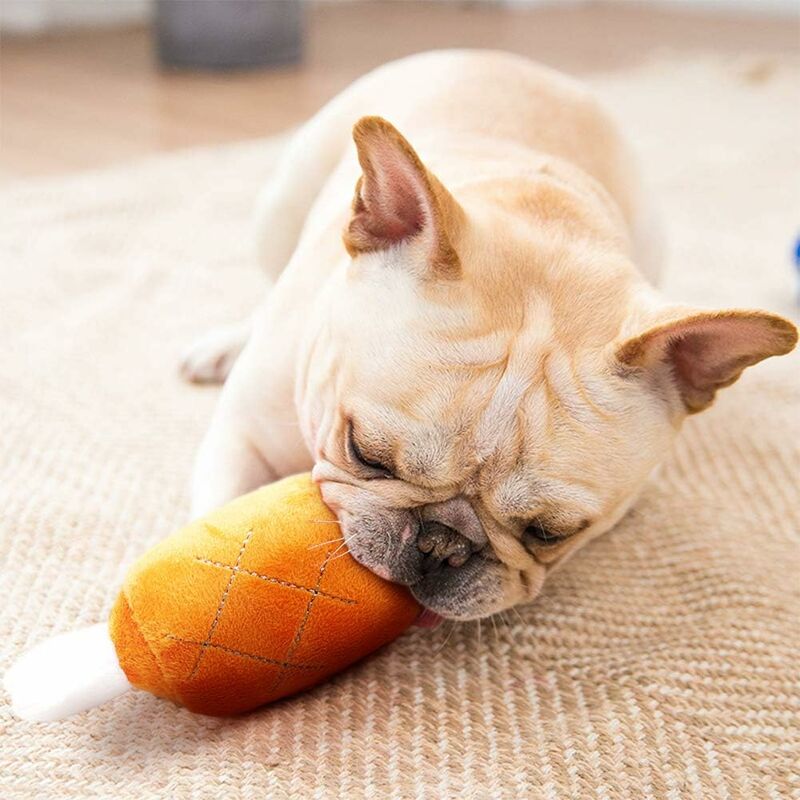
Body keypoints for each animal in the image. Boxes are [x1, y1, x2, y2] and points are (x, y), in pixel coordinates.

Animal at [180, 50, 792, 624]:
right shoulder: (246, 434)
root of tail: (508, 60)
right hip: (279, 207)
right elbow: (211, 516)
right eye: (366, 454)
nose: (439, 544)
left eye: (550, 533)